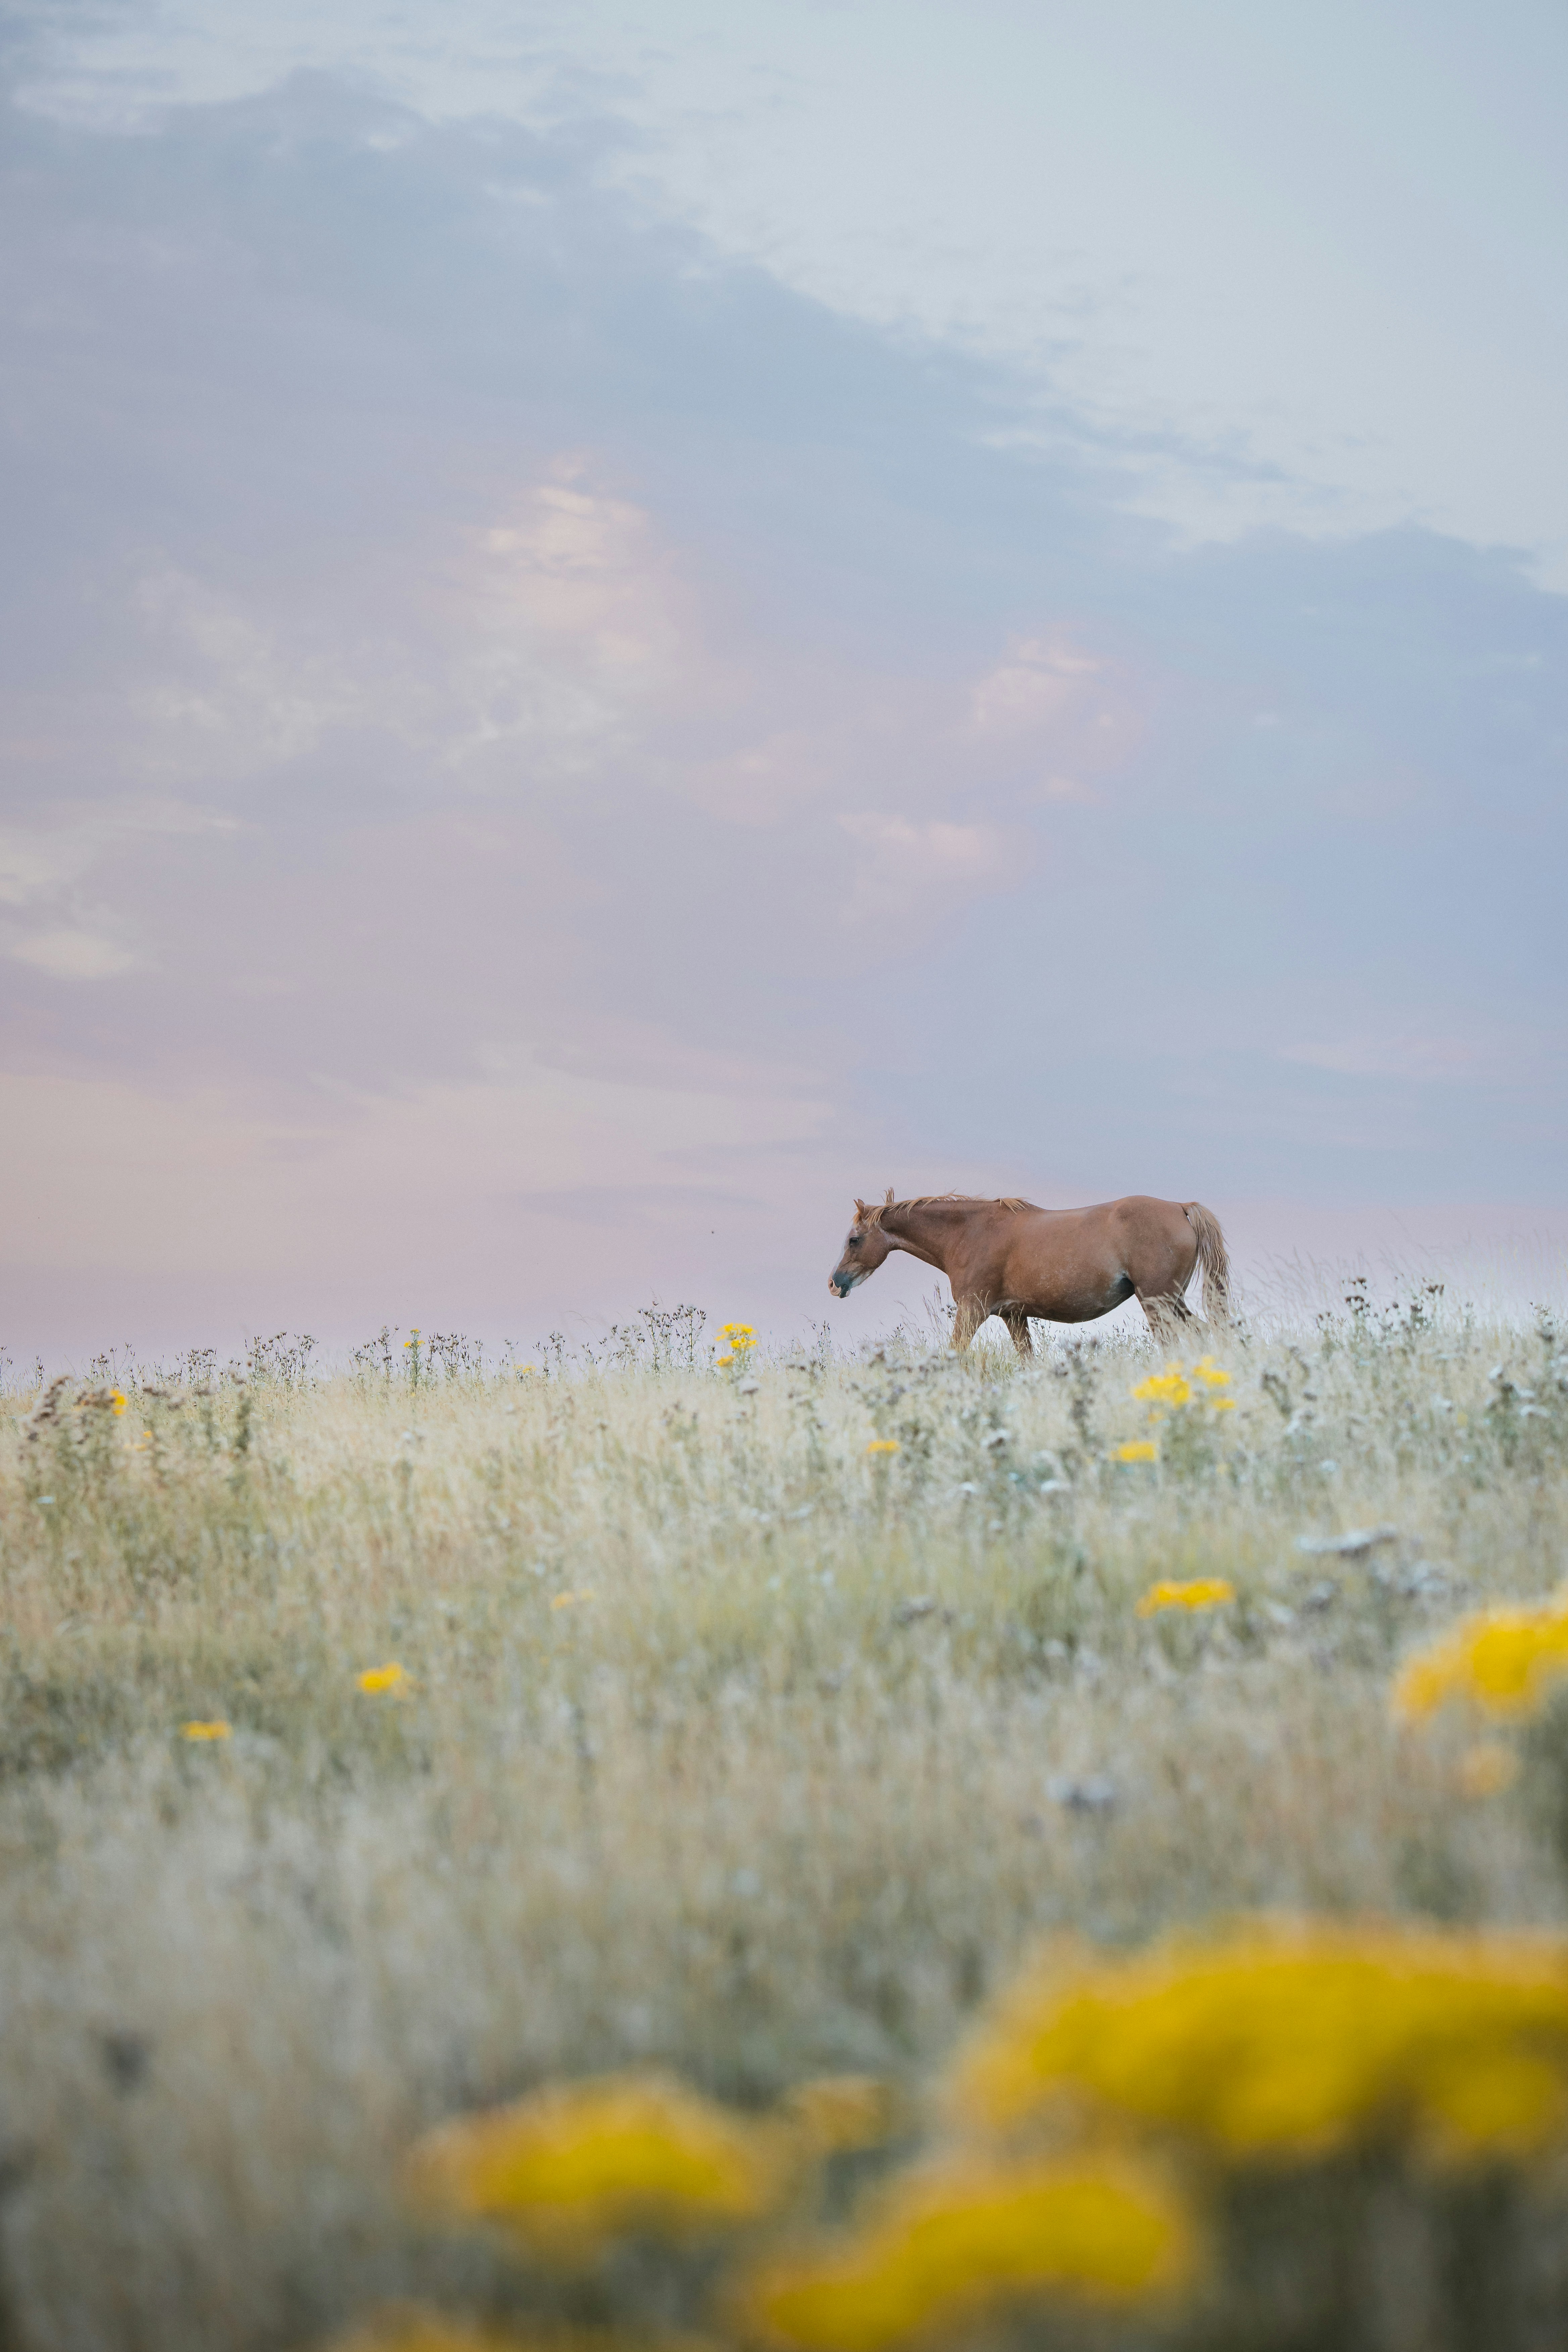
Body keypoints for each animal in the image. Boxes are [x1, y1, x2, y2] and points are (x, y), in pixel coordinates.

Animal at [827, 1190, 1231, 1356]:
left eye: (854, 1240)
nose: (835, 1284)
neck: (969, 1233)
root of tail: (1180, 1208)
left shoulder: (972, 1311)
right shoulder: (1014, 1317)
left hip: (1158, 1303)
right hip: (1171, 1302)